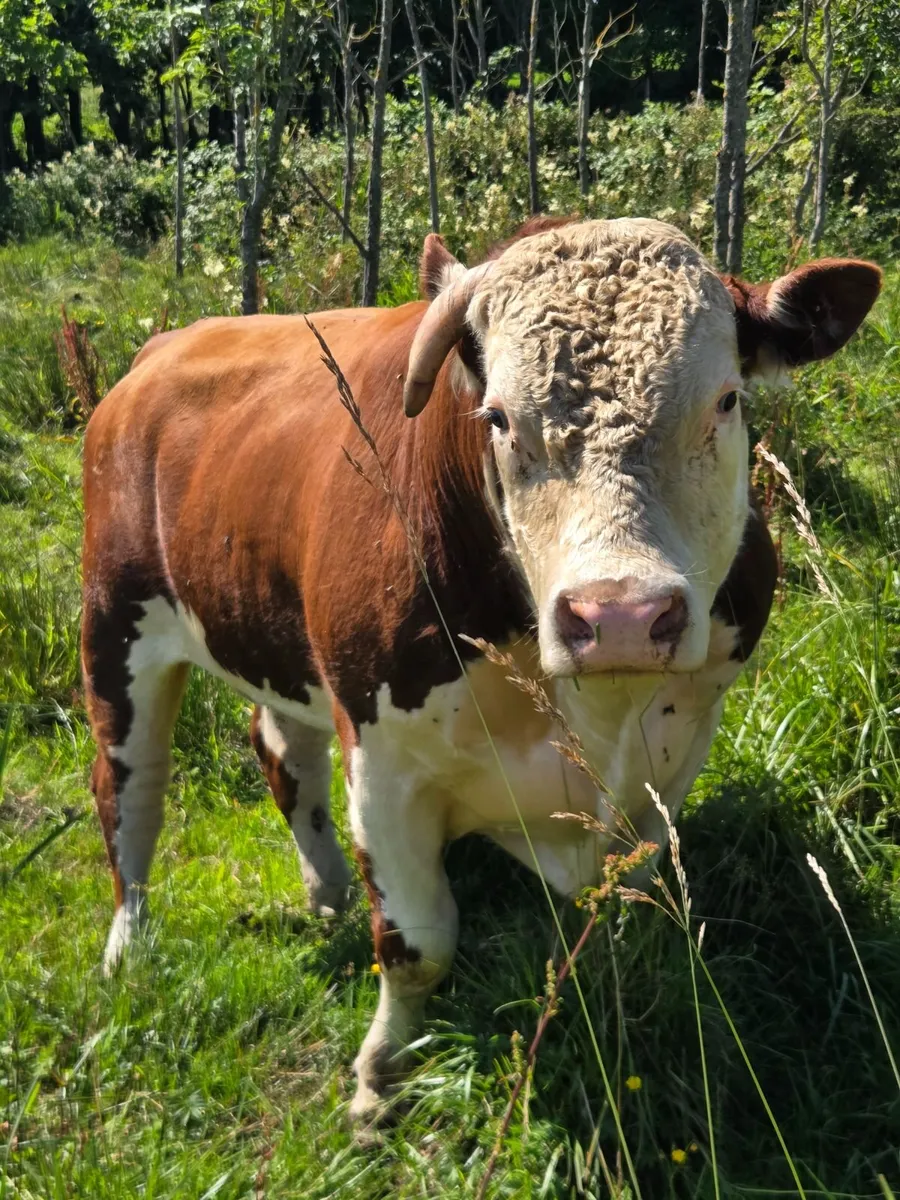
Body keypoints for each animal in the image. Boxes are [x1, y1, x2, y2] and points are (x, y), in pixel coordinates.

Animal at [81, 217, 881, 1121]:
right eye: (497, 416)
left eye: (726, 401)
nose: (620, 617)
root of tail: (160, 352)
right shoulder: (383, 763)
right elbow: (417, 945)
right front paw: (381, 1077)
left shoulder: (680, 741)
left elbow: (633, 892)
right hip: (115, 624)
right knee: (130, 792)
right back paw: (129, 946)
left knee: (284, 755)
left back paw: (325, 892)